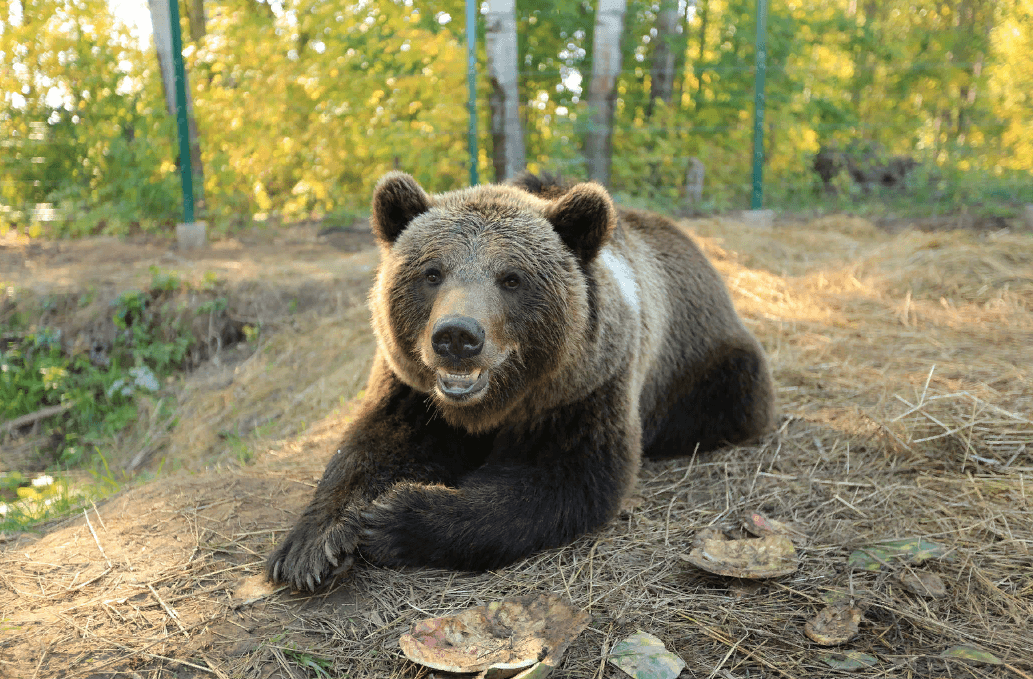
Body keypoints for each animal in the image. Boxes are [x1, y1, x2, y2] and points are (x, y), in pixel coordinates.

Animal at [268, 169, 776, 587]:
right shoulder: (411, 388)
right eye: (432, 273)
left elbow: (559, 481)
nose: (456, 336)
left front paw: (396, 516)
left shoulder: (584, 389)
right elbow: (371, 446)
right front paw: (312, 546)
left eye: (511, 278)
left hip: (706, 361)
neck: (489, 408)